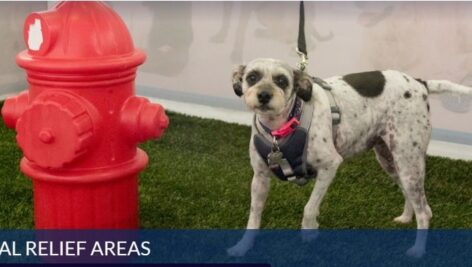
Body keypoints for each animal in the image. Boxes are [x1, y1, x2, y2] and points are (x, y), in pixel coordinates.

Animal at [228, 57, 472, 258]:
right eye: (252, 77)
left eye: (281, 80)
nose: (264, 95)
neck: (281, 128)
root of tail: (420, 83)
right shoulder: (260, 178)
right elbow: (254, 216)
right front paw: (243, 246)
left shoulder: (330, 166)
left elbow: (309, 208)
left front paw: (309, 232)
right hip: (391, 161)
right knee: (413, 199)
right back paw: (404, 218)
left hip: (408, 161)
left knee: (425, 211)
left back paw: (418, 250)